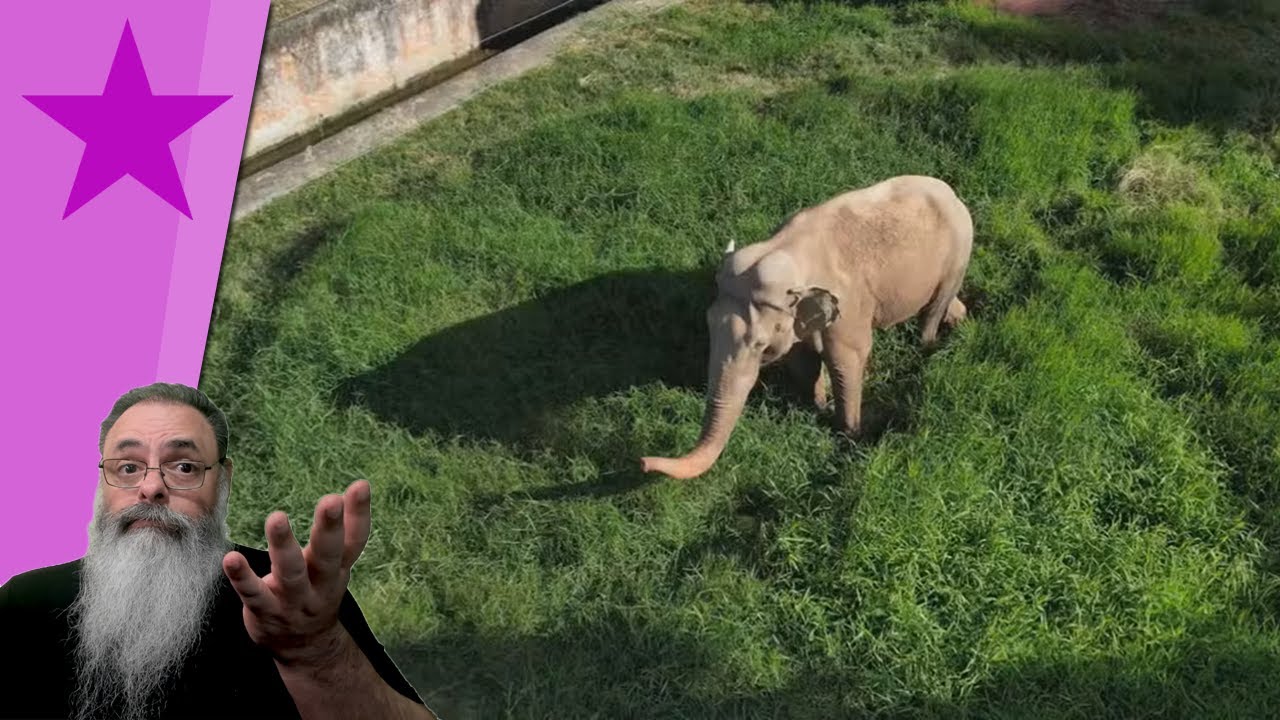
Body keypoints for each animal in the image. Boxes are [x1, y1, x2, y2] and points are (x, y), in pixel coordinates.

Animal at [639, 175, 974, 480]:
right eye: (707, 325)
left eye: (761, 346)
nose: (641, 461)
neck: (788, 251)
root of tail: (950, 191)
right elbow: (803, 361)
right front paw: (818, 408)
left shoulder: (848, 309)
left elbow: (847, 359)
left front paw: (849, 435)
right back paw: (961, 321)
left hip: (959, 253)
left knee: (933, 309)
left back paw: (929, 347)